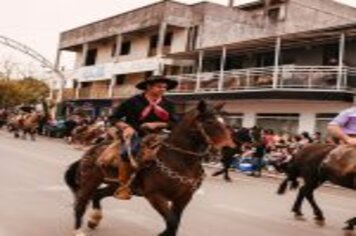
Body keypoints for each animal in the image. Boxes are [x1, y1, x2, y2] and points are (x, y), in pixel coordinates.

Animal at [64, 101, 236, 236]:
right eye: (209, 122)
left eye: (225, 122)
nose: (229, 148)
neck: (180, 160)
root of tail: (90, 151)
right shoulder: (155, 196)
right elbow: (172, 222)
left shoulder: (184, 198)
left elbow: (175, 223)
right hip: (90, 181)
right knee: (81, 202)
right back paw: (78, 230)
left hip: (116, 185)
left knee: (98, 195)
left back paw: (94, 219)